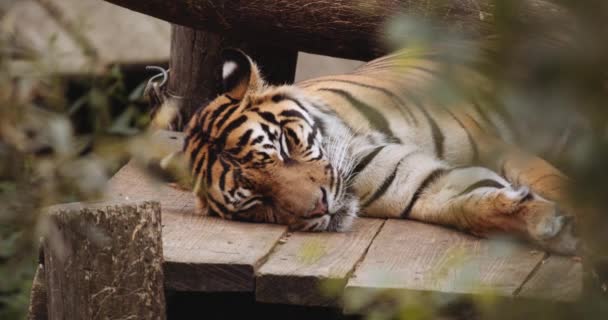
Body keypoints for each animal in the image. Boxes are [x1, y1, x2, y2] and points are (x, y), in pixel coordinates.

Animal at [177, 47, 580, 256]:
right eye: (257, 201)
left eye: (283, 146)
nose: (320, 208)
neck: (355, 143)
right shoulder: (421, 184)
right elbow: (471, 207)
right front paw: (549, 225)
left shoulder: (498, 146)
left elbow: (557, 184)